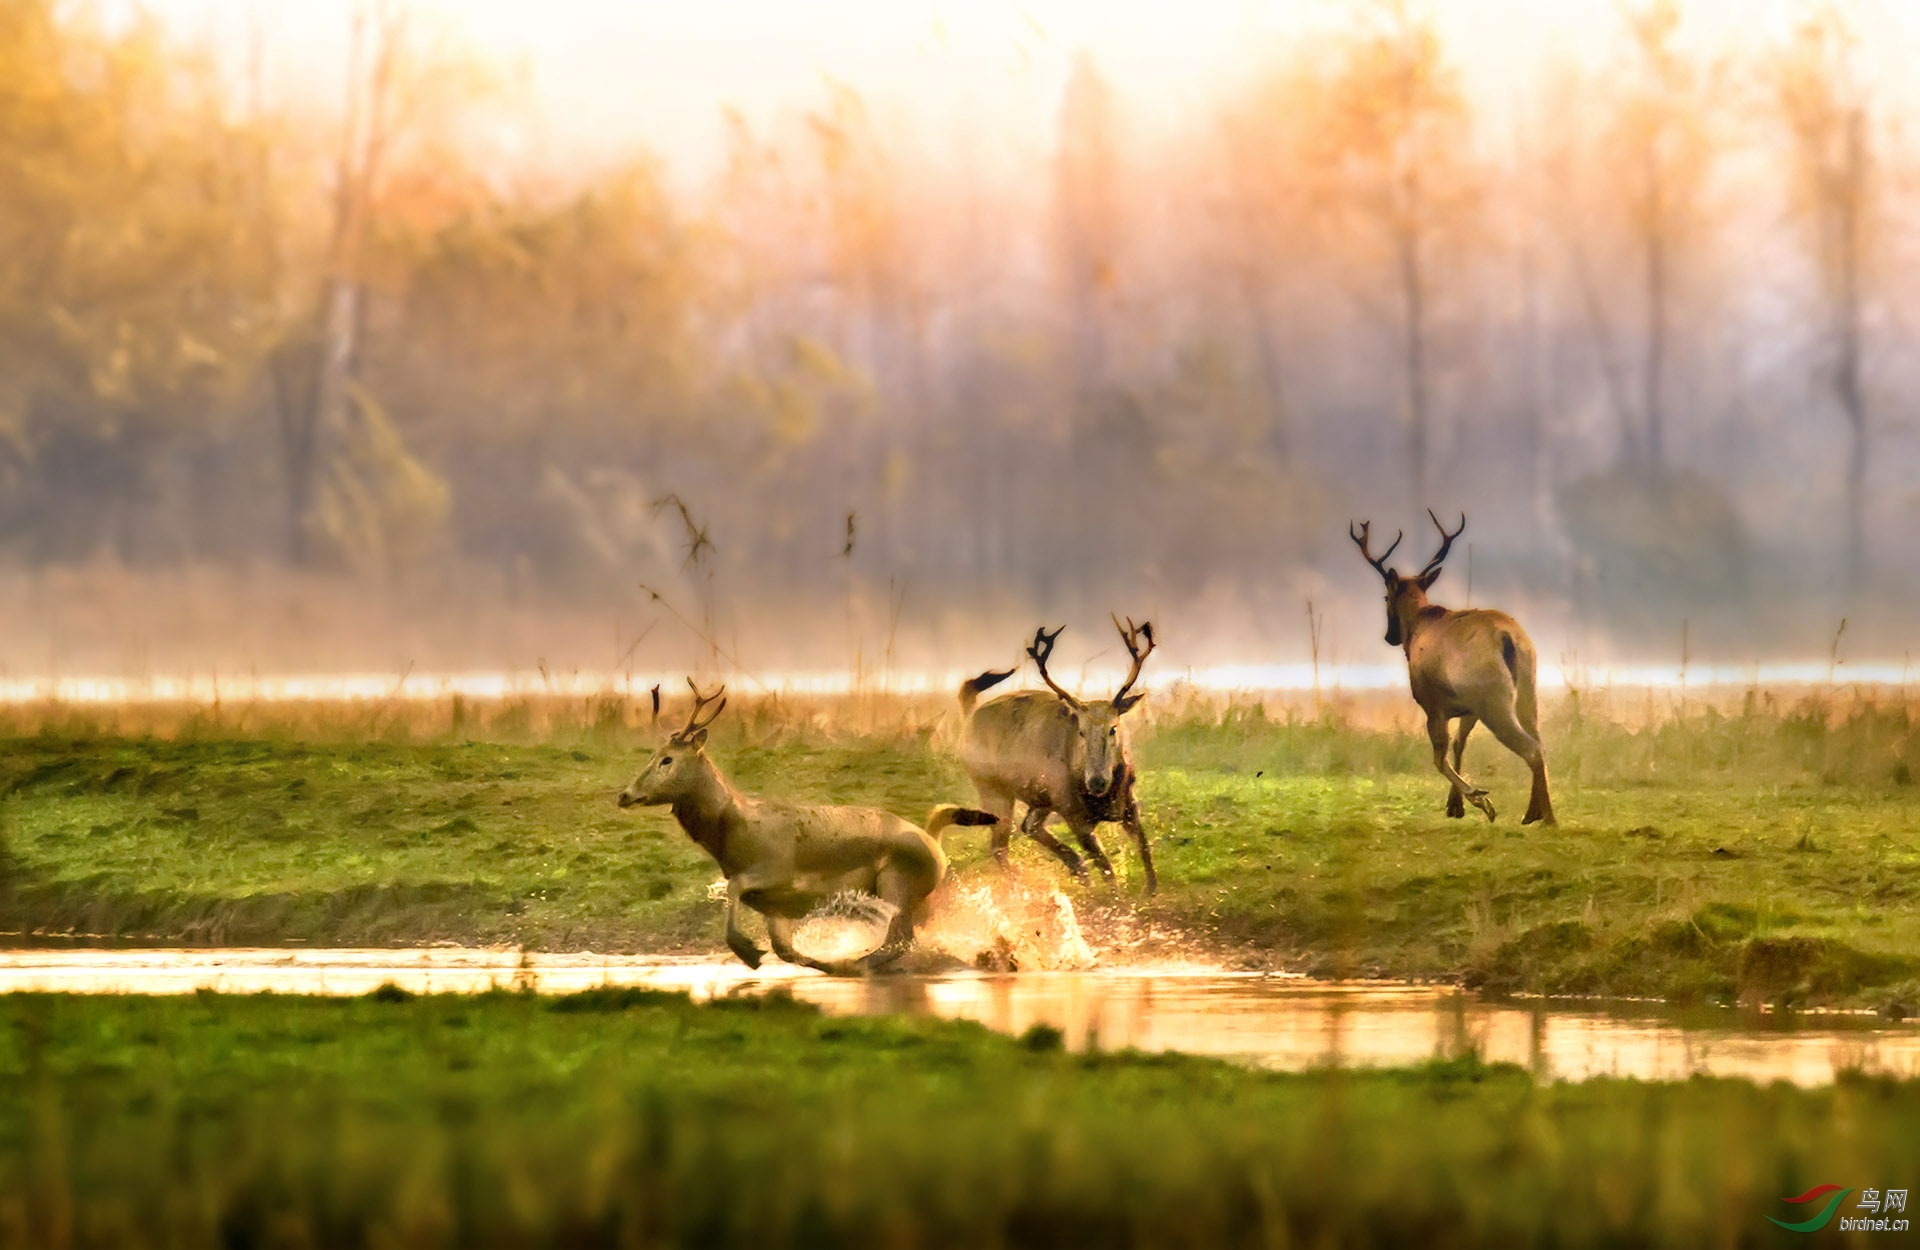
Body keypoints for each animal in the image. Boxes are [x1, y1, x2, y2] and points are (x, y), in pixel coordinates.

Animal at [617, 680, 997, 974]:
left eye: (667, 759)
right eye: (651, 756)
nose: (625, 795)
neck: (733, 831)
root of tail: (936, 847)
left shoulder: (777, 869)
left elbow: (735, 888)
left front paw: (748, 951)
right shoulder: (773, 903)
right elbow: (787, 950)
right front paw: (828, 965)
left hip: (897, 881)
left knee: (900, 942)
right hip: (914, 898)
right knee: (905, 941)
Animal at [955, 616, 1159, 894]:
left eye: (1114, 728)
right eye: (1081, 731)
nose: (1096, 782)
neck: (1107, 797)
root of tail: (968, 718)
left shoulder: (1129, 803)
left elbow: (1145, 849)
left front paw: (1151, 890)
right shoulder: (1072, 813)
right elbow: (1107, 868)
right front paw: (1117, 899)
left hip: (1039, 796)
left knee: (1028, 826)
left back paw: (1077, 870)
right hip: (993, 787)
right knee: (1000, 846)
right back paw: (1027, 887)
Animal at [1350, 510, 1556, 825]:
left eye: (1385, 597)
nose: (1390, 636)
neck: (1416, 629)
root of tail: (1508, 639)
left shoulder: (1432, 704)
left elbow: (1439, 758)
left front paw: (1479, 800)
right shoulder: (1467, 708)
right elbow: (1460, 744)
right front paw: (1455, 805)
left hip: (1492, 698)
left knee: (1531, 748)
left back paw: (1543, 816)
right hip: (1527, 687)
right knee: (1539, 740)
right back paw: (1540, 811)